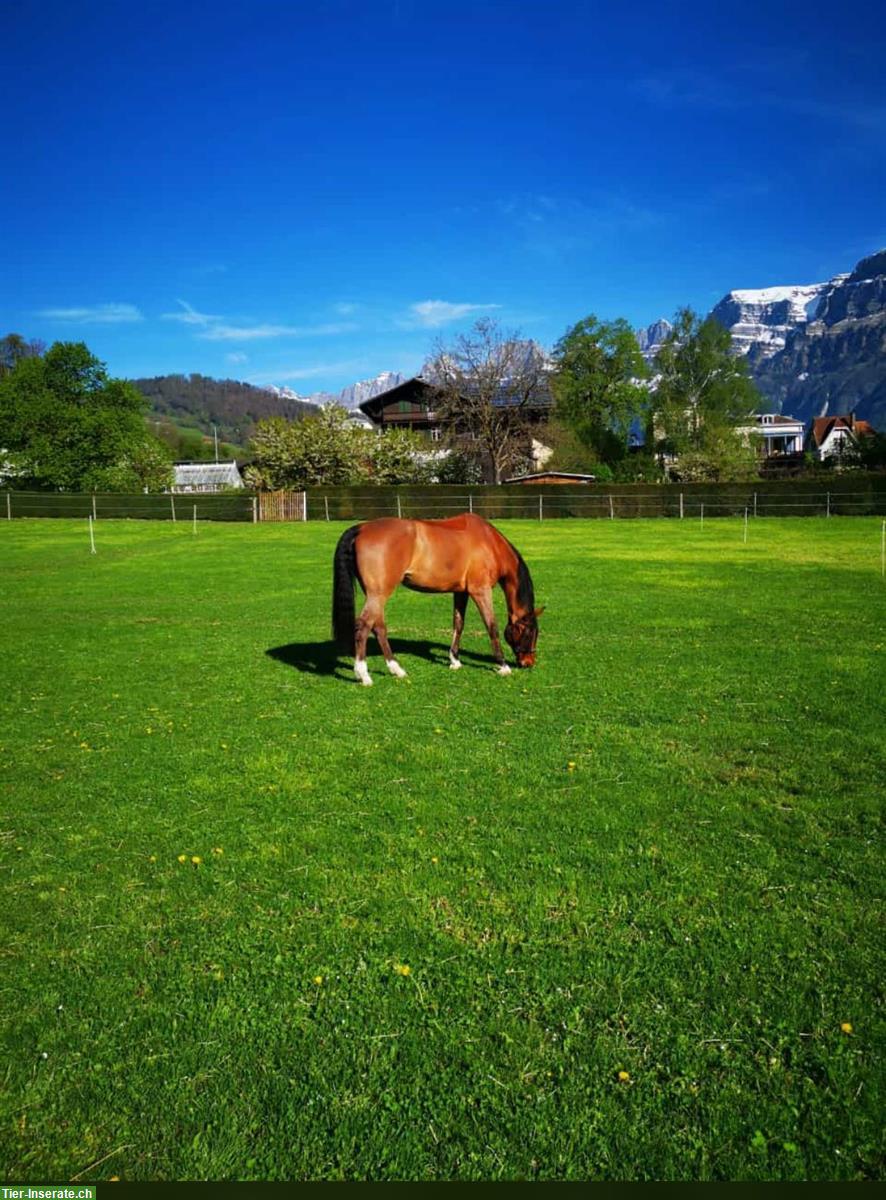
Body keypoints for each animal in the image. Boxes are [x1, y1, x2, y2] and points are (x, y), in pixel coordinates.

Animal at [328, 513, 537, 686]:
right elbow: (491, 626)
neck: (489, 542)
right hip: (378, 594)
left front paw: (454, 660)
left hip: (375, 595)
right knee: (363, 626)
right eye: (530, 633)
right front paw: (503, 666)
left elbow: (458, 624)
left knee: (378, 627)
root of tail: (361, 528)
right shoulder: (481, 591)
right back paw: (364, 675)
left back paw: (396, 669)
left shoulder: (460, 592)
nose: (529, 662)